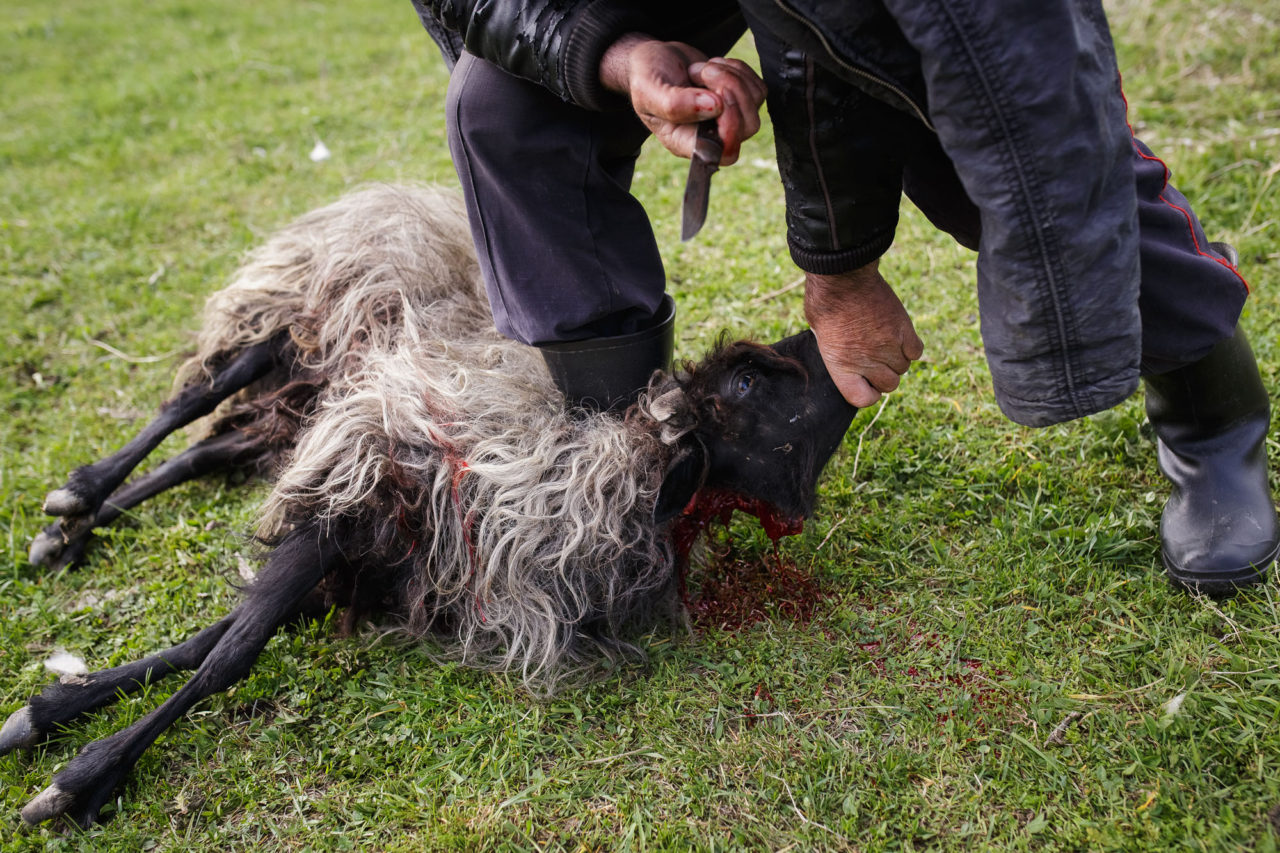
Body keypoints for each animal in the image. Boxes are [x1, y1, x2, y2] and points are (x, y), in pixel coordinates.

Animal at [5, 180, 860, 824]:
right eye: (748, 383)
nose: (837, 342)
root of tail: (398, 195)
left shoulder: (385, 559)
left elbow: (205, 641)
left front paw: (53, 709)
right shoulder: (361, 492)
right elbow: (229, 651)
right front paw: (81, 774)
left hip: (303, 405)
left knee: (206, 448)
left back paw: (72, 530)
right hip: (293, 321)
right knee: (190, 402)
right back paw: (77, 493)